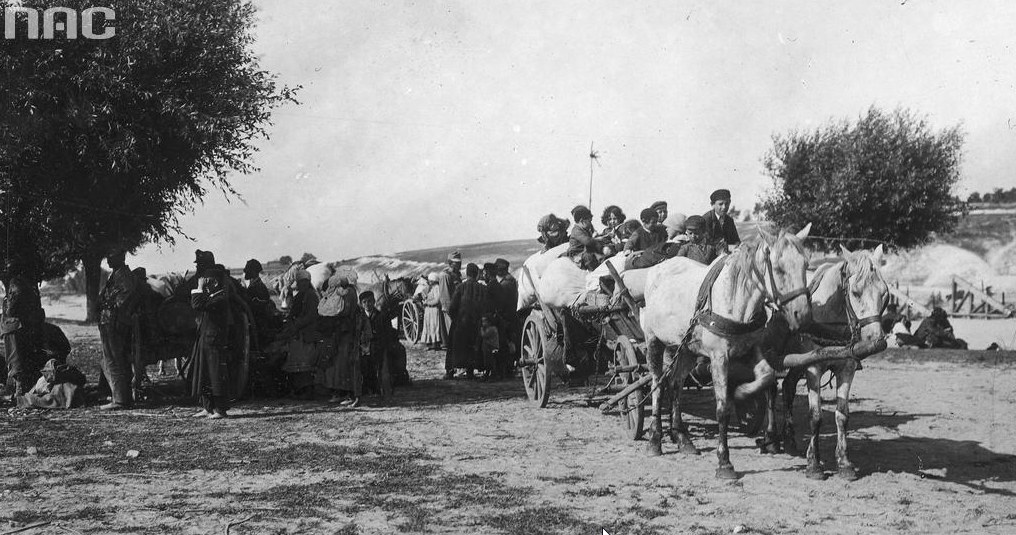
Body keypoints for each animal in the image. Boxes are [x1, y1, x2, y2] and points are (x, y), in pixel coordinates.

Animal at [642, 224, 808, 479]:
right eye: (779, 269)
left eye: (806, 265)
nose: (802, 313)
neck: (734, 299)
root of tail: (658, 268)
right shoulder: (719, 358)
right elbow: (722, 409)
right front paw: (724, 462)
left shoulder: (751, 350)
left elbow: (767, 377)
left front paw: (741, 394)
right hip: (654, 342)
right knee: (657, 385)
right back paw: (655, 440)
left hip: (685, 349)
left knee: (675, 384)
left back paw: (682, 437)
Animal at [780, 244, 885, 479]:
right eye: (855, 292)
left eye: (884, 293)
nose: (876, 340)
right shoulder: (813, 368)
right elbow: (815, 416)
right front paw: (813, 463)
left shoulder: (847, 368)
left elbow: (842, 415)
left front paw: (844, 462)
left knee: (788, 387)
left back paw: (789, 439)